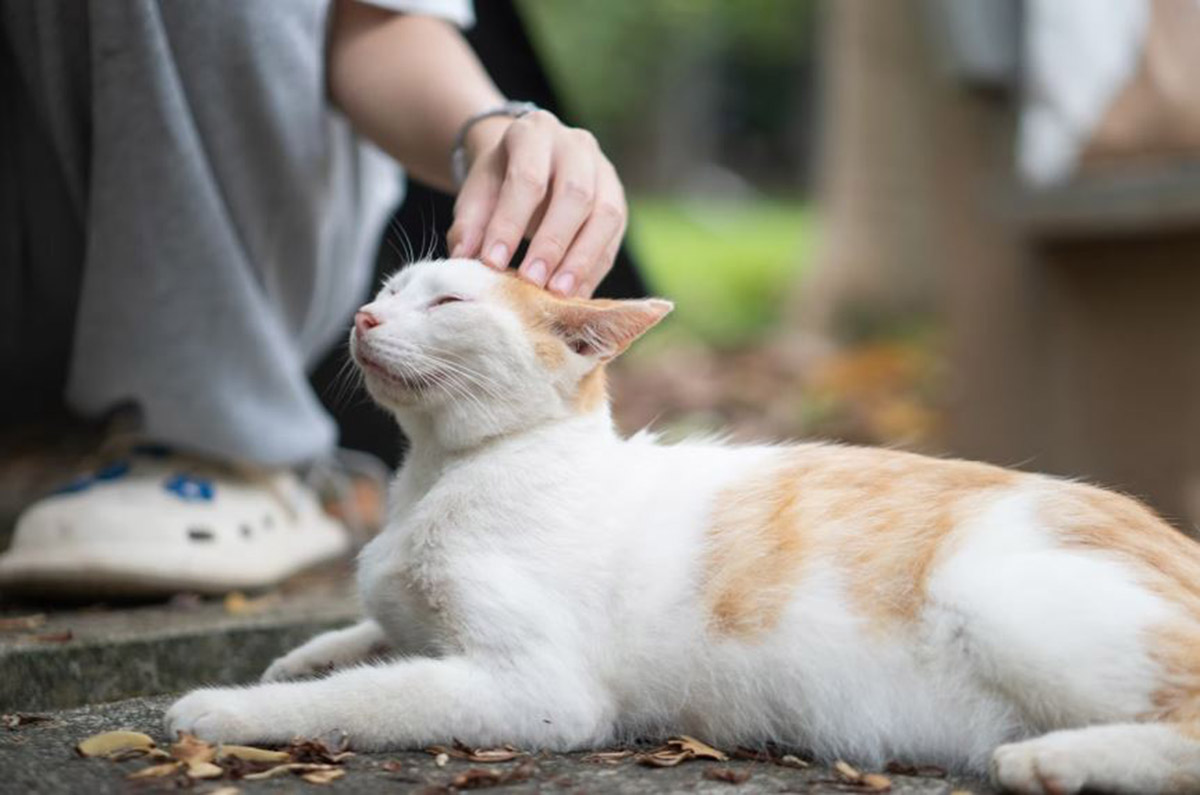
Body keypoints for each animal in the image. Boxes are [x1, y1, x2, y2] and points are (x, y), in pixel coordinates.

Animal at [164, 258, 1200, 792]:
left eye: (447, 300)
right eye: (389, 286)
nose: (366, 315)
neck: (441, 473)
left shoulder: (538, 692)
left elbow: (369, 694)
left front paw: (229, 707)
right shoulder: (413, 614)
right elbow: (366, 636)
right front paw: (304, 652)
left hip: (1007, 604)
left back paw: (1052, 759)